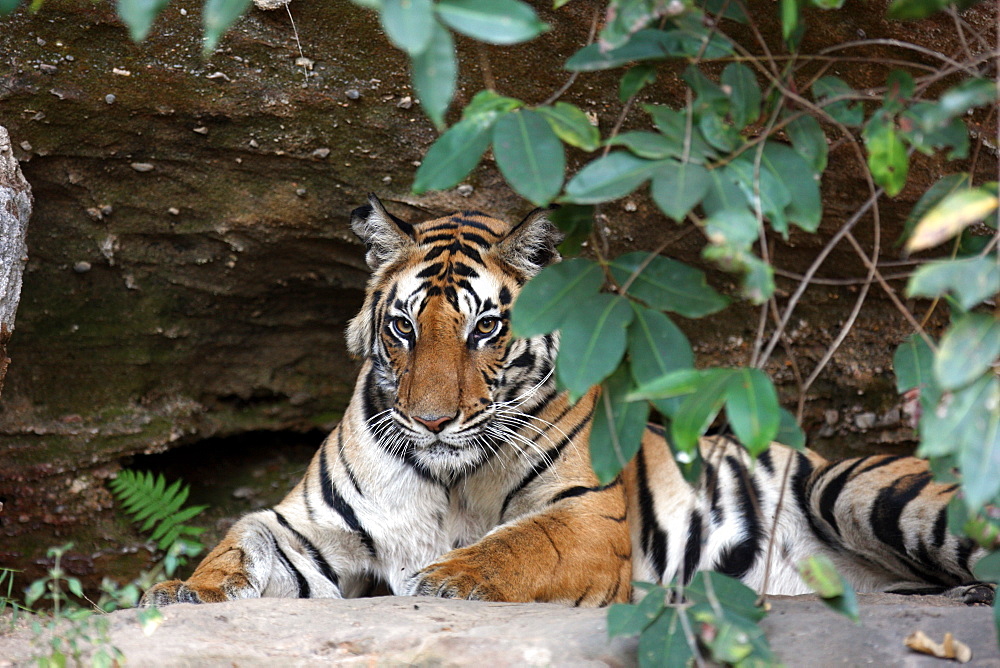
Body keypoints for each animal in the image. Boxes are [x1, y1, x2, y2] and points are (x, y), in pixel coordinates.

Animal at [141, 194, 992, 612]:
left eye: (486, 328)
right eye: (404, 327)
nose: (430, 421)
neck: (446, 473)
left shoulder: (589, 514)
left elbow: (519, 544)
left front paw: (447, 577)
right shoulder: (309, 527)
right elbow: (239, 539)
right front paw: (182, 586)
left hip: (848, 485)